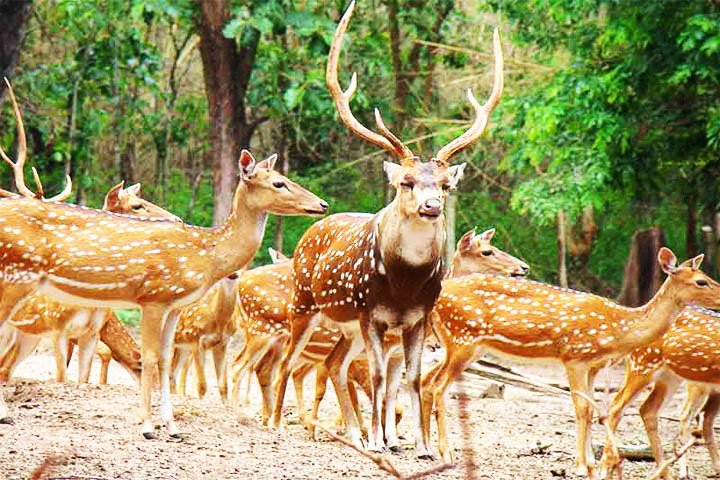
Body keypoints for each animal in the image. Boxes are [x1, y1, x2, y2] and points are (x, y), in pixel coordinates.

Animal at [270, 1, 503, 458]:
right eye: (406, 183)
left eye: (445, 185)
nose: (431, 206)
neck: (402, 285)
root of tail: (313, 227)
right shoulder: (369, 313)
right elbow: (378, 376)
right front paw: (380, 441)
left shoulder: (417, 319)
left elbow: (410, 379)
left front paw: (422, 446)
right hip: (304, 302)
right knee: (289, 358)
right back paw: (273, 423)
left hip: (344, 328)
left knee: (333, 364)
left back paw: (353, 433)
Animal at [598, 306, 720, 479]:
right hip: (643, 365)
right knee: (617, 405)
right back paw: (605, 468)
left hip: (669, 377)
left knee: (648, 409)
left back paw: (667, 472)